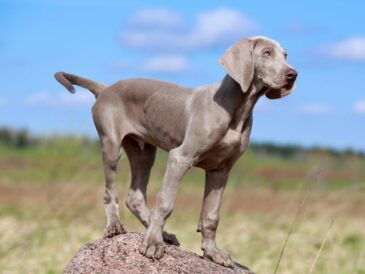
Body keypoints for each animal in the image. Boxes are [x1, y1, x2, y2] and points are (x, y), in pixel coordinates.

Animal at [55, 36, 298, 268]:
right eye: (266, 53)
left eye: (285, 55)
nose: (293, 75)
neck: (238, 107)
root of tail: (106, 88)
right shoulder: (180, 158)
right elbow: (165, 202)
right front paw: (153, 245)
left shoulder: (221, 170)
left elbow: (211, 216)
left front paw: (213, 253)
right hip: (111, 145)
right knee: (110, 190)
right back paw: (116, 226)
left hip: (143, 151)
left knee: (135, 197)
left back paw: (162, 234)